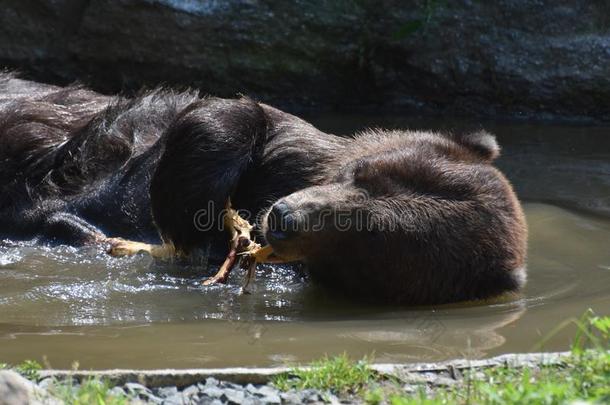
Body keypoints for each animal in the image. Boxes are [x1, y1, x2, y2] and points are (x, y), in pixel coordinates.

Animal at [0, 72, 524, 304]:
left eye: (371, 233)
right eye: (363, 173)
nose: (284, 216)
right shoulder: (288, 155)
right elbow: (238, 116)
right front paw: (187, 205)